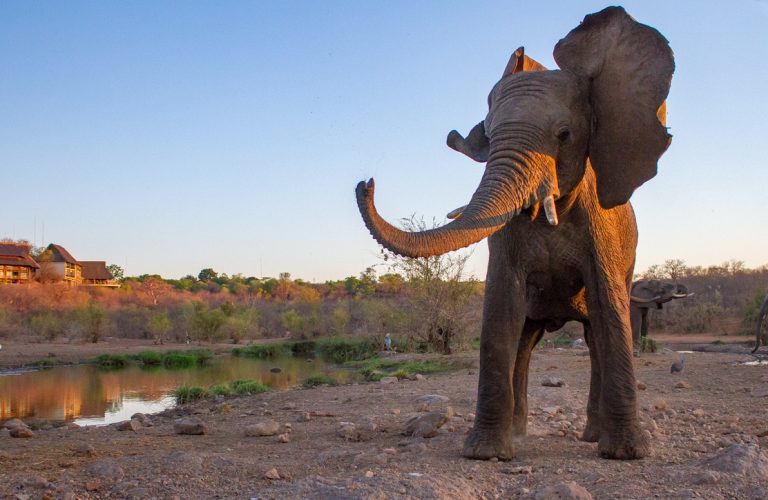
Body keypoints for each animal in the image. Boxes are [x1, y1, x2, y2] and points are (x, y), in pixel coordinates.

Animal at [355, 7, 674, 460]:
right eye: (488, 135)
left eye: (564, 135)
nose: (366, 184)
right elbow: (501, 308)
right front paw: (486, 455)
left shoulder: (603, 232)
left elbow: (610, 311)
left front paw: (627, 454)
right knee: (524, 341)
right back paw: (520, 434)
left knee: (593, 338)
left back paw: (591, 436)